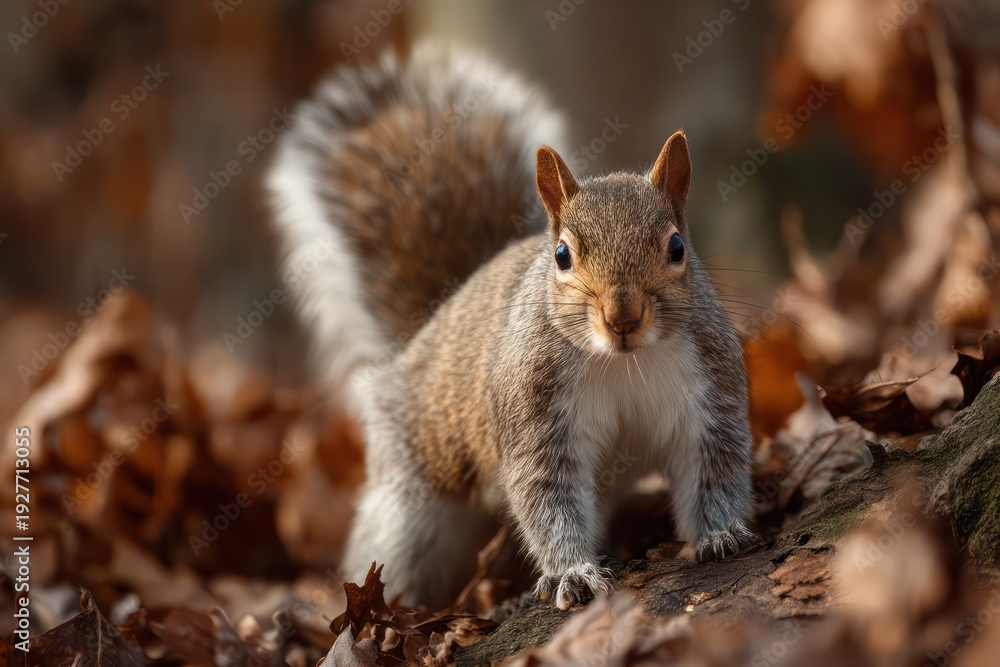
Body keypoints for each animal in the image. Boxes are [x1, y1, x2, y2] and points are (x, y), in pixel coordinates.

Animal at [267, 45, 758, 610]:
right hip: (412, 503)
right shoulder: (533, 411)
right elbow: (546, 496)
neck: (624, 362)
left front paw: (719, 534)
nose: (623, 318)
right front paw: (573, 573)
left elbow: (714, 470)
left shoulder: (710, 393)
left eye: (677, 247)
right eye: (562, 255)